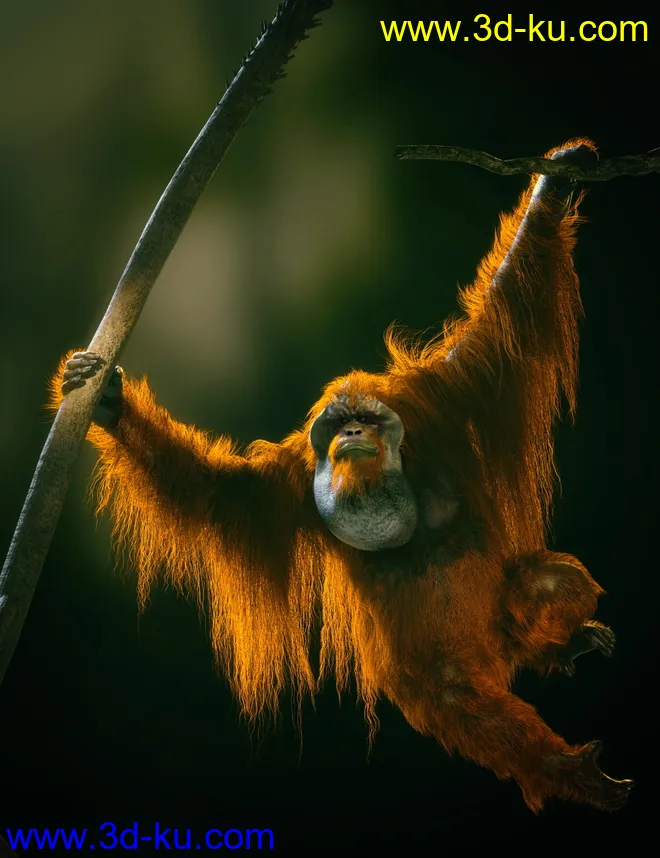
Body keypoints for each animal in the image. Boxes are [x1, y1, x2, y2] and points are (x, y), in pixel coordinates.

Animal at [50, 139, 633, 813]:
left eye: (366, 420)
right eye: (339, 424)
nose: (351, 435)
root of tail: (500, 657)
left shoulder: (450, 396)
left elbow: (506, 314)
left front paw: (555, 182)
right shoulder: (290, 487)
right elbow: (217, 493)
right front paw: (109, 404)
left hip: (503, 620)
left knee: (550, 583)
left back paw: (562, 654)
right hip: (453, 663)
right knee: (457, 697)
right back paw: (561, 756)